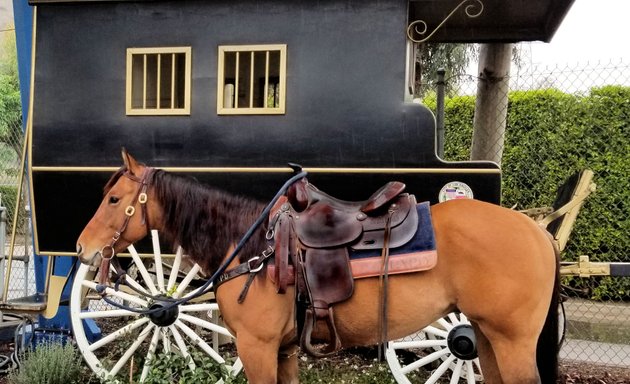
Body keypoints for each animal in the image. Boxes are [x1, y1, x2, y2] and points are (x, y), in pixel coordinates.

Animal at [76, 150, 560, 384]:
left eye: (114, 199)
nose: (82, 248)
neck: (253, 247)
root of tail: (539, 233)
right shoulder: (285, 350)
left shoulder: (257, 348)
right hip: (486, 337)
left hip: (510, 342)